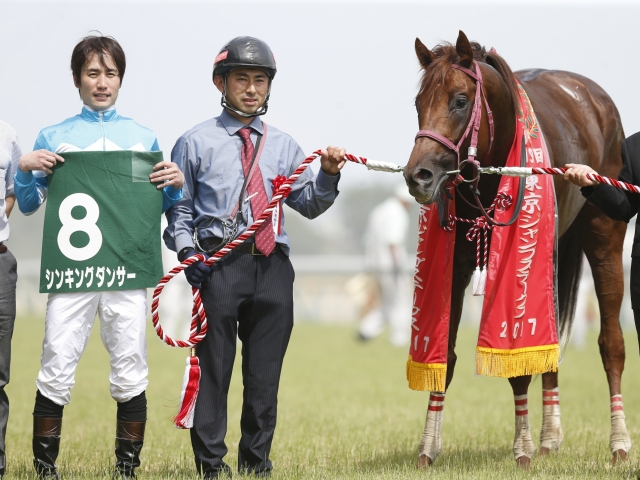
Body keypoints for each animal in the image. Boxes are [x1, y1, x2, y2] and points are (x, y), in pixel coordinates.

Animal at [404, 30, 632, 464]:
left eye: (460, 100)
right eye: (417, 103)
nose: (417, 175)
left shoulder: (517, 261)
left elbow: (517, 360)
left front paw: (522, 448)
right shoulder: (458, 262)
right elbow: (448, 354)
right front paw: (427, 447)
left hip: (605, 237)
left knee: (611, 343)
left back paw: (619, 442)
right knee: (551, 338)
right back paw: (550, 437)